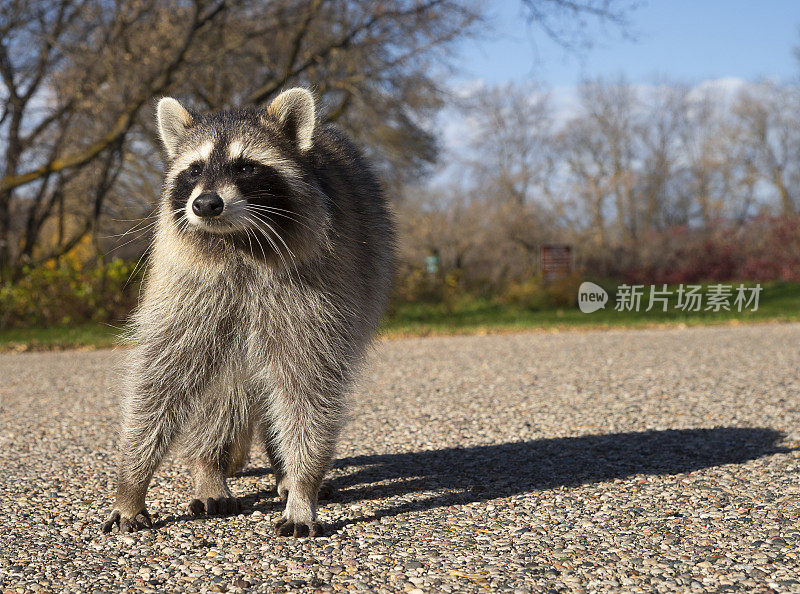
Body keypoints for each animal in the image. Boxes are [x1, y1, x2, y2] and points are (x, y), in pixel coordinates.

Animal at [101, 88, 396, 536]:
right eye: (194, 169)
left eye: (245, 167)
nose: (206, 204)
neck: (237, 242)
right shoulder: (188, 289)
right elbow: (160, 377)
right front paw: (131, 482)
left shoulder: (320, 293)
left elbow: (309, 388)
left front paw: (303, 487)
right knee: (225, 391)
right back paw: (209, 469)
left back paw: (283, 473)